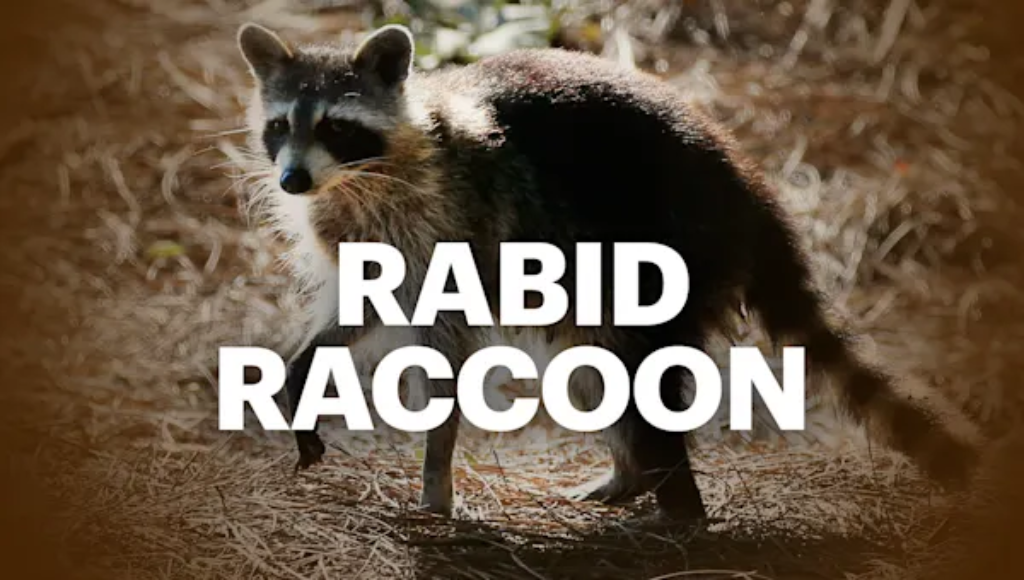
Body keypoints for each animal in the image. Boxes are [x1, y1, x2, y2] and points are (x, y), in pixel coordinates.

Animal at [235, 22, 983, 520]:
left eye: (336, 127)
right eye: (280, 126)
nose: (293, 180)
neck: (355, 180)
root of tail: (747, 190)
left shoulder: (451, 222)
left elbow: (445, 359)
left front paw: (436, 478)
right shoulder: (367, 238)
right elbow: (363, 307)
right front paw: (306, 364)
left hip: (663, 252)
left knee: (636, 374)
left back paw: (678, 502)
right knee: (591, 370)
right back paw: (632, 477)